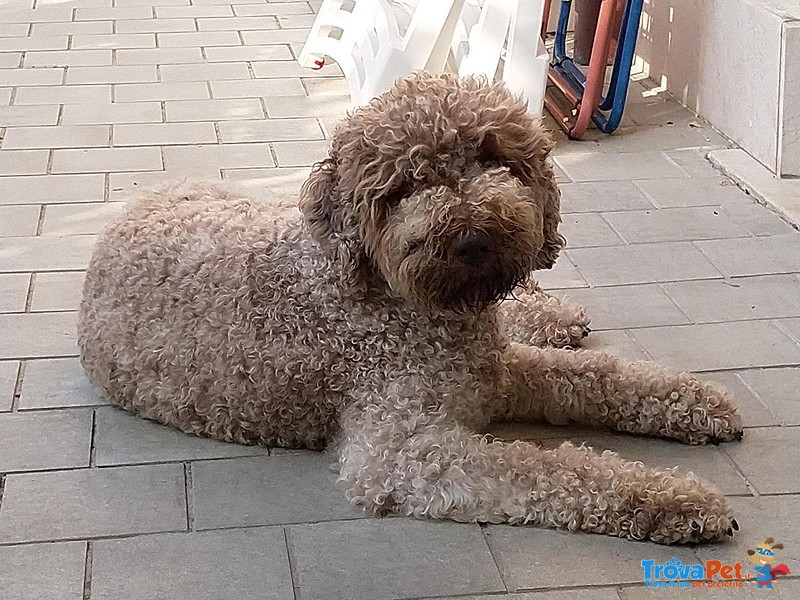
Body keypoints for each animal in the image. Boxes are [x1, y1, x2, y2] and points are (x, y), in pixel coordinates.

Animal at [78, 74, 740, 544]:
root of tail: (123, 214)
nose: (473, 240)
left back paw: (553, 316)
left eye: (492, 157)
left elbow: (600, 376)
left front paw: (698, 402)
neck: (413, 310)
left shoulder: (494, 370)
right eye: (404, 187)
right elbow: (552, 469)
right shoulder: (406, 452)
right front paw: (677, 498)